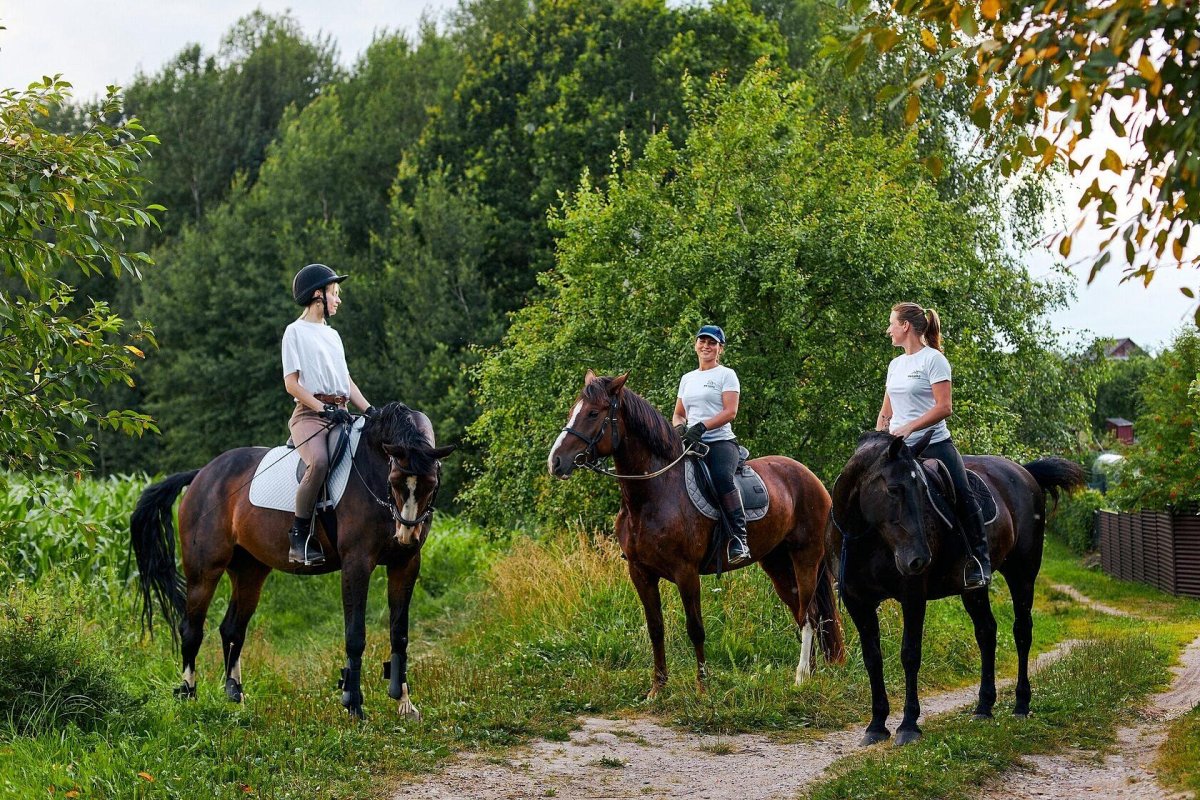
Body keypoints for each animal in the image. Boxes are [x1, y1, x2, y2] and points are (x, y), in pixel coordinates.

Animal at [127, 402, 453, 724]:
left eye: (431, 484)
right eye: (394, 481)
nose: (406, 534)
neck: (371, 468)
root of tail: (202, 475)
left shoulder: (406, 563)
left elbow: (400, 634)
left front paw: (405, 704)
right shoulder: (357, 564)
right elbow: (355, 635)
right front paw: (354, 706)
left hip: (250, 570)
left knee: (232, 629)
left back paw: (236, 696)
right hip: (204, 570)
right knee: (191, 629)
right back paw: (188, 695)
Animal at [549, 371, 844, 695]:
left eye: (593, 413)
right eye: (573, 411)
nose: (556, 462)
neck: (654, 493)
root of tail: (811, 478)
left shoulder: (686, 572)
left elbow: (695, 629)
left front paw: (703, 688)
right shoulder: (640, 572)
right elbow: (656, 628)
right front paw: (657, 689)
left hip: (806, 558)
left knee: (810, 614)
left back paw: (801, 676)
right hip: (776, 563)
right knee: (802, 612)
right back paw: (810, 672)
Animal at [830, 434, 1084, 748]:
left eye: (923, 490)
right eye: (893, 489)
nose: (918, 559)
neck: (867, 540)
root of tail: (1024, 472)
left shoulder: (912, 596)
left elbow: (910, 654)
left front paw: (908, 725)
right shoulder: (858, 602)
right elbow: (872, 658)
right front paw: (876, 725)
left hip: (1022, 574)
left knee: (1022, 631)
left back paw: (1021, 705)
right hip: (973, 589)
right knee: (987, 632)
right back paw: (983, 708)